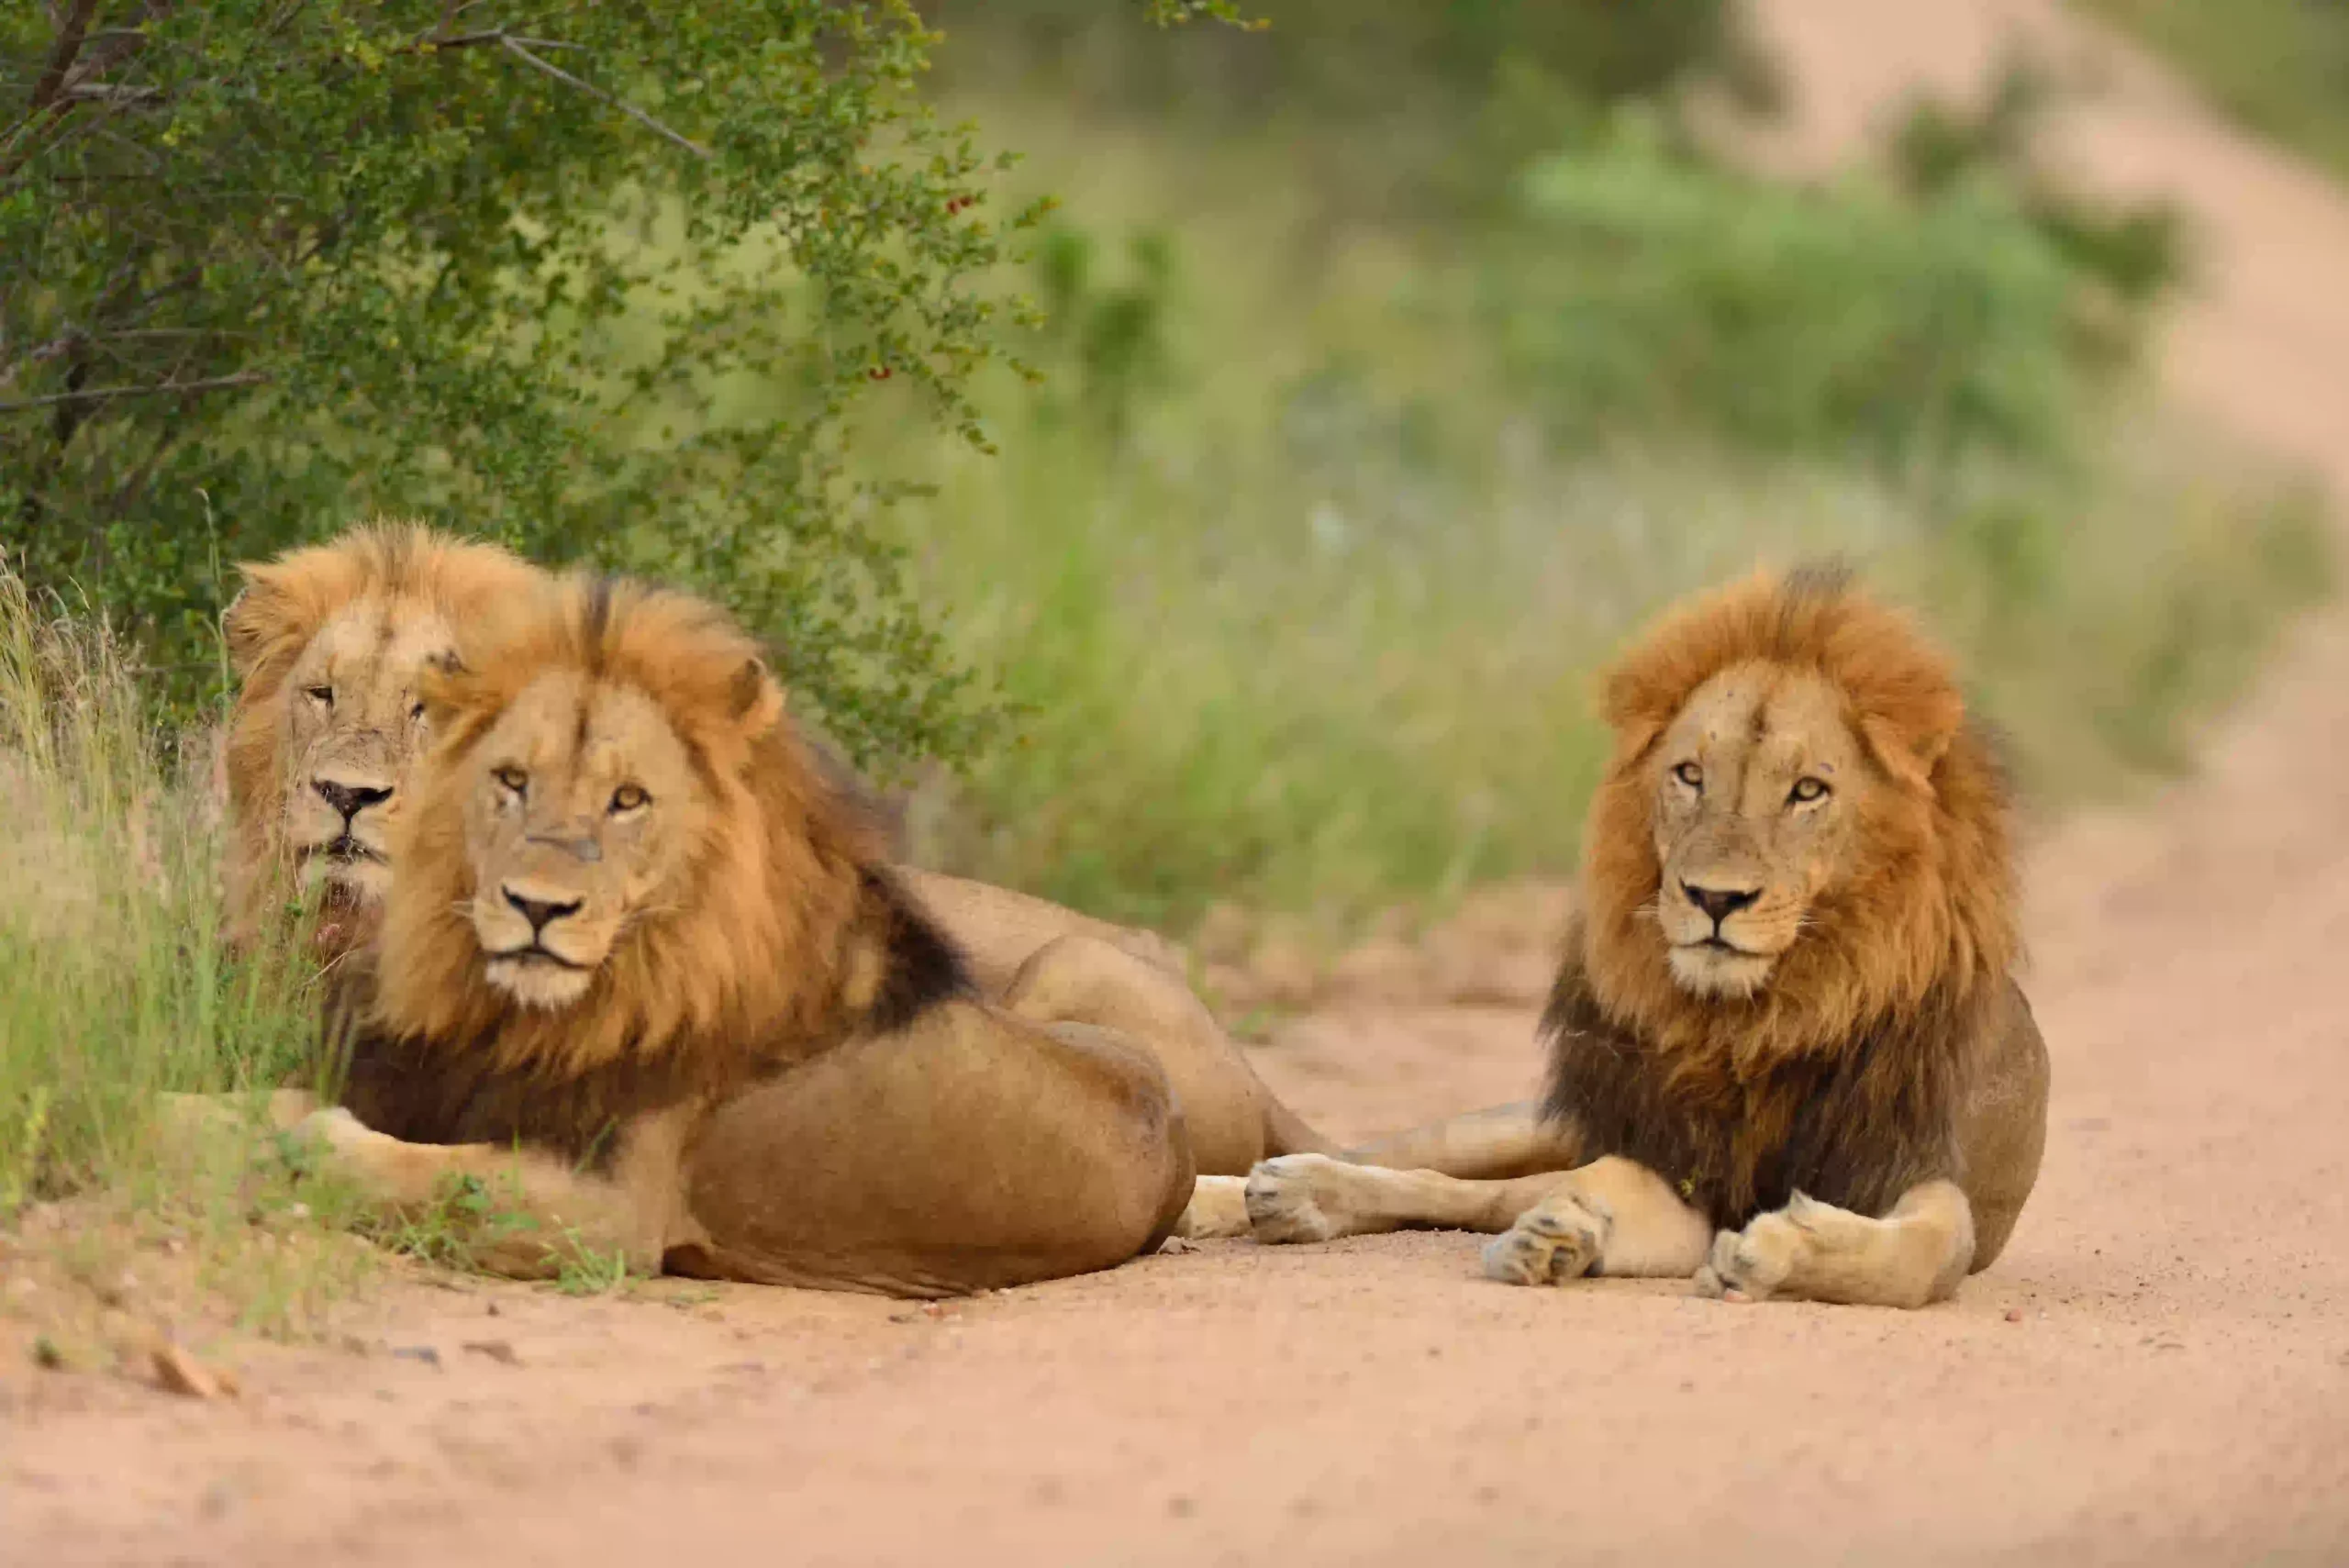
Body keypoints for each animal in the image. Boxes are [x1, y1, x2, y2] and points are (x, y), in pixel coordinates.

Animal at [1239, 566, 2051, 1308]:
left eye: (1808, 791)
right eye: (1689, 775)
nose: (1715, 897)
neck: (1757, 1019)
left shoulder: (1917, 1169)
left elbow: (1924, 1253)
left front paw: (1766, 1251)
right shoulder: (1670, 1163)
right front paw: (1561, 1232)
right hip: (1520, 1126)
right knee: (1437, 1172)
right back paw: (1283, 1191)